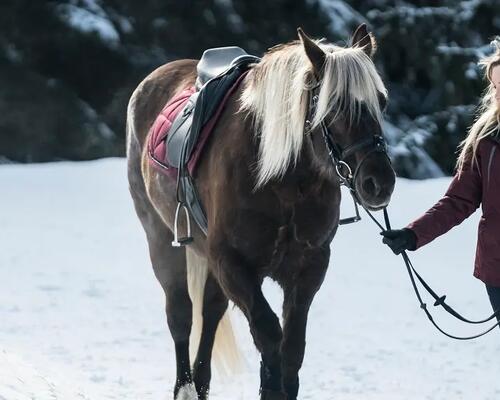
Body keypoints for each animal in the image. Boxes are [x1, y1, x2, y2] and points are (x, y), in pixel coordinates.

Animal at [125, 24, 394, 400]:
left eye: (380, 102)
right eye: (334, 105)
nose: (379, 182)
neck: (282, 182)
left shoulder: (308, 268)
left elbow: (291, 349)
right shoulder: (233, 263)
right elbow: (269, 336)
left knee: (210, 313)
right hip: (162, 240)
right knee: (181, 315)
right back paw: (186, 388)